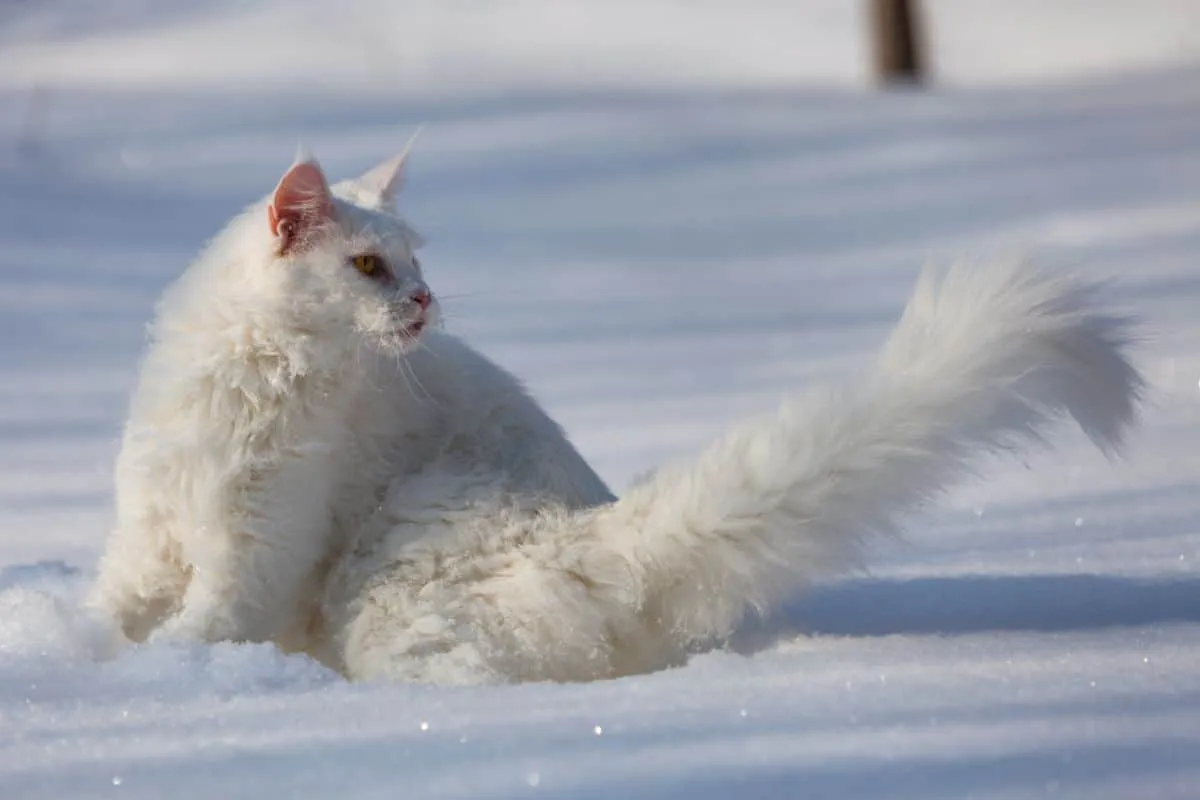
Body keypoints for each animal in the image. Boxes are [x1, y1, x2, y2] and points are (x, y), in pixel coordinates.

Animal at [91, 151, 1142, 690]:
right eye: (368, 268)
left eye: (415, 265)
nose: (425, 303)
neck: (247, 378)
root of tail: (599, 537)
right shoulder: (150, 527)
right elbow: (115, 609)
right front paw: (81, 658)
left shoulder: (257, 540)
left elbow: (204, 624)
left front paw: (156, 678)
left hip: (389, 583)